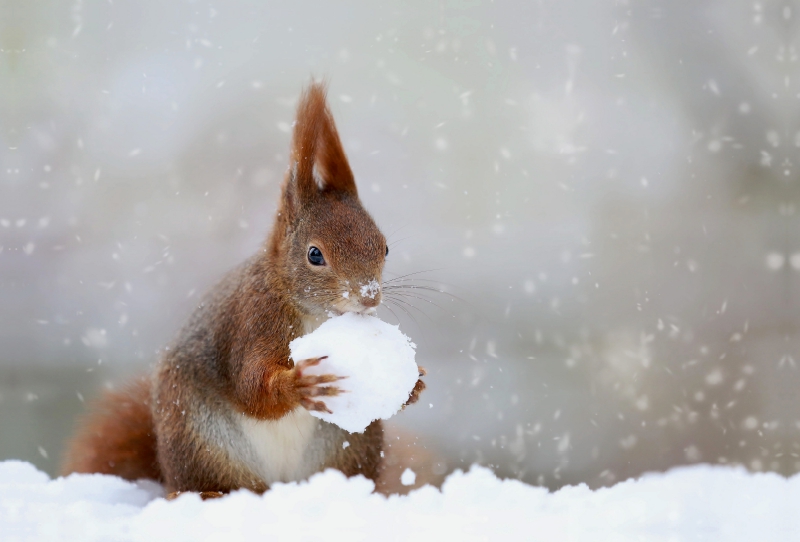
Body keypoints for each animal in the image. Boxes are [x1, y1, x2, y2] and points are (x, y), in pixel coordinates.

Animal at [61, 82, 424, 502]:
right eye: (315, 254)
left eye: (384, 247)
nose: (369, 296)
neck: (307, 309)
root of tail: (277, 485)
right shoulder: (252, 323)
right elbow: (252, 386)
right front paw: (296, 383)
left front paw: (414, 385)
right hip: (201, 438)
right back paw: (210, 494)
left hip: (348, 447)